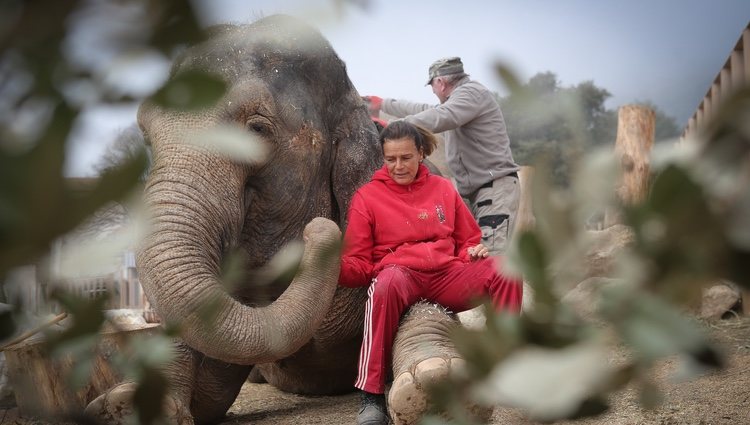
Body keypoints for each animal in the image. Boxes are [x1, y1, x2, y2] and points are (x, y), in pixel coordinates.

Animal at [83, 13, 482, 424]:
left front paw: (434, 385)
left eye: (257, 129)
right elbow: (209, 380)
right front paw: (122, 406)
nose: (320, 233)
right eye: (147, 138)